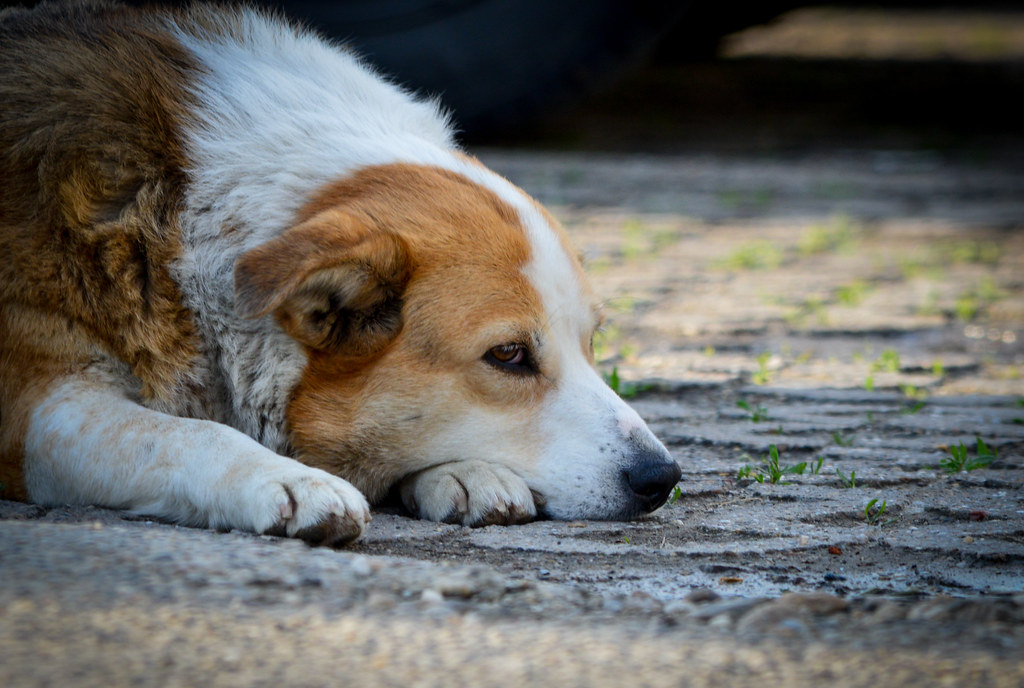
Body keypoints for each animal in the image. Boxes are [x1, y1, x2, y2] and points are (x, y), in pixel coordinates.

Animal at [2, 2, 688, 544]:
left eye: (591, 342)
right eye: (508, 355)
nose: (663, 478)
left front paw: (462, 472)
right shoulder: (36, 411)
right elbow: (184, 435)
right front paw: (286, 478)